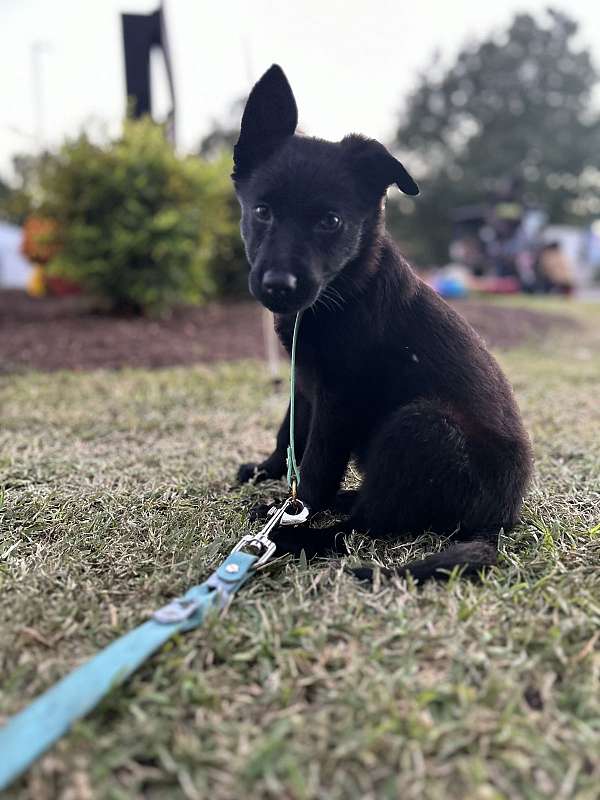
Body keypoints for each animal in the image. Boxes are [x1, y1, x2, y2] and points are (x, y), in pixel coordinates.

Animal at [232, 65, 532, 580]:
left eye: (330, 221)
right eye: (262, 211)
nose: (278, 286)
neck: (343, 290)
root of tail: (497, 523)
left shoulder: (339, 398)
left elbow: (315, 466)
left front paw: (290, 511)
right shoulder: (304, 381)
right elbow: (289, 430)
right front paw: (268, 469)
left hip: (421, 426)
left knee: (362, 527)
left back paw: (298, 537)